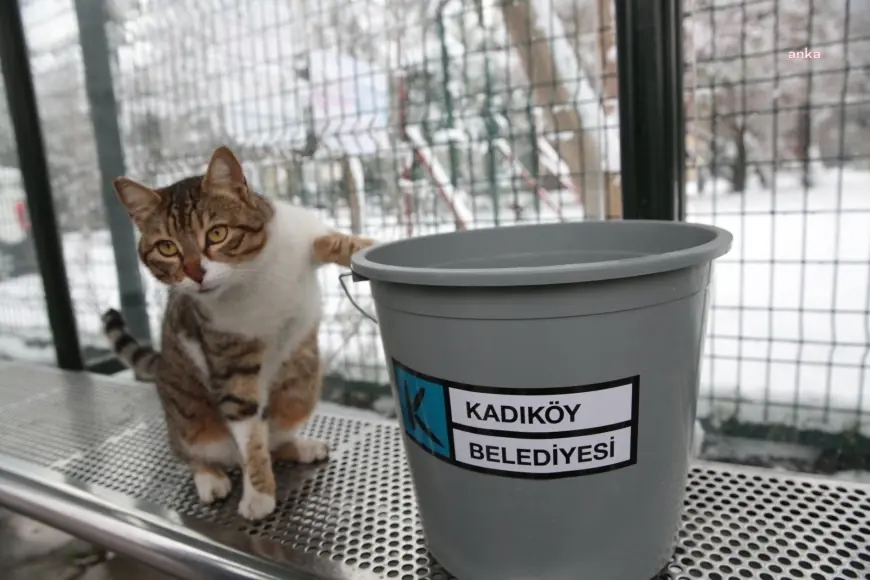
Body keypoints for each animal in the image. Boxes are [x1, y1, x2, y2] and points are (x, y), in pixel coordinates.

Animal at [102, 145, 374, 520]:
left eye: (217, 233)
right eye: (167, 247)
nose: (195, 272)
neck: (251, 276)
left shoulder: (299, 235)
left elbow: (334, 242)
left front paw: (366, 245)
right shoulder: (230, 362)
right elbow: (249, 433)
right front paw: (258, 494)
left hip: (299, 391)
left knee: (276, 437)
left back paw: (301, 447)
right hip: (191, 423)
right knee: (194, 452)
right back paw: (210, 478)